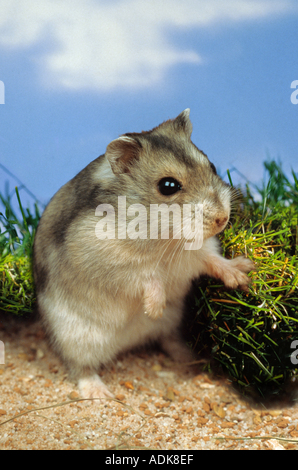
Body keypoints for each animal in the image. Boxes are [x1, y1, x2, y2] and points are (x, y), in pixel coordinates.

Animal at [33, 111, 254, 400]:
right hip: (75, 337)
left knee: (167, 339)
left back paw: (190, 357)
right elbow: (146, 275)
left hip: (172, 322)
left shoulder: (198, 253)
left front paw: (243, 274)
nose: (222, 219)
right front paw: (154, 308)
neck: (165, 239)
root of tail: (129, 342)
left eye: (213, 166)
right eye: (168, 186)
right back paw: (101, 394)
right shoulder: (109, 260)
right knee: (81, 367)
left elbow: (214, 260)